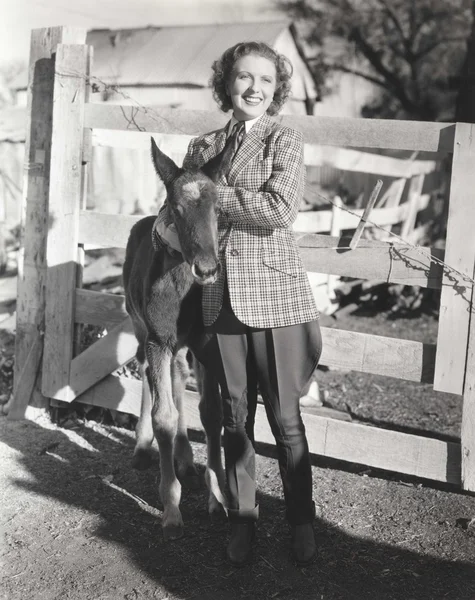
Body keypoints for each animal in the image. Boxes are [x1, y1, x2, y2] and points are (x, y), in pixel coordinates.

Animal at [123, 138, 231, 540]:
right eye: (176, 208)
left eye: (218, 207)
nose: (208, 268)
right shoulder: (158, 339)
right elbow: (164, 417)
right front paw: (171, 504)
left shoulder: (207, 342)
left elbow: (212, 413)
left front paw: (217, 496)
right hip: (140, 326)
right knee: (146, 371)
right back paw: (143, 448)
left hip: (181, 344)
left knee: (179, 374)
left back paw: (186, 460)